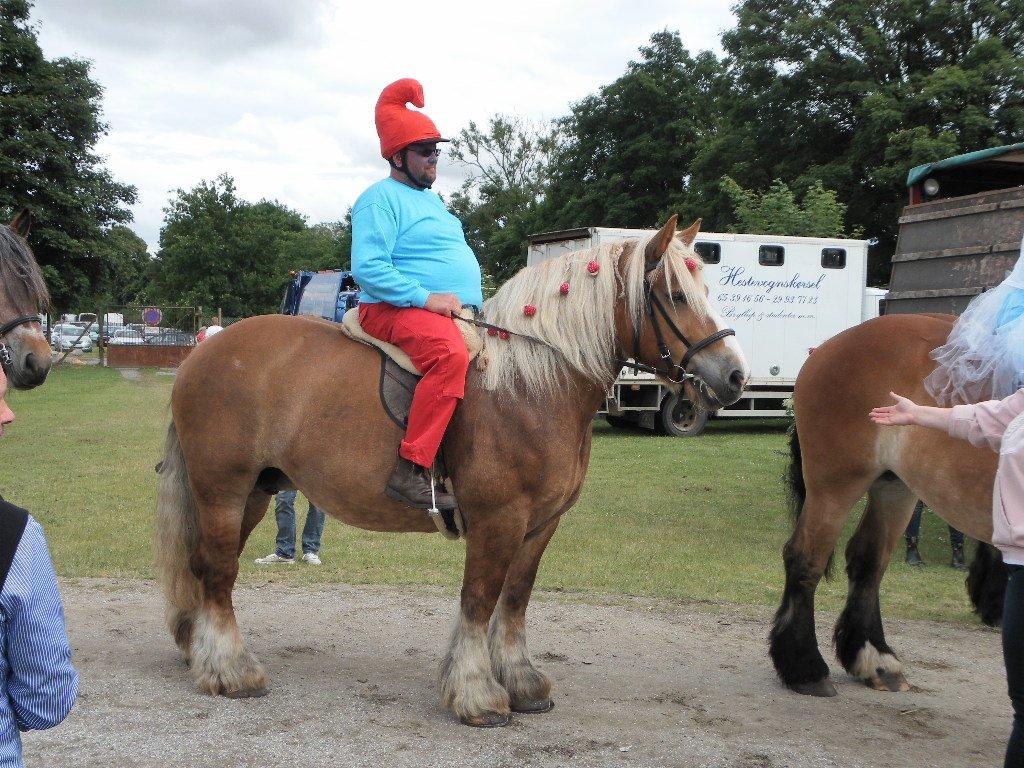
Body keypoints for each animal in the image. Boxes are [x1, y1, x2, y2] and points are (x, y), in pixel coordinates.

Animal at [153, 217, 745, 729]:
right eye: (675, 296)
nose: (735, 375)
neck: (532, 385)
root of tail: (202, 354)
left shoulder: (540, 524)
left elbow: (514, 599)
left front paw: (521, 682)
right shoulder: (498, 519)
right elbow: (480, 599)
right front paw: (477, 694)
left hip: (252, 493)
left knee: (207, 569)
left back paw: (199, 651)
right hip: (224, 490)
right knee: (218, 572)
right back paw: (231, 671)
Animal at [770, 313, 999, 696]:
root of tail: (827, 348)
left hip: (895, 488)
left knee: (868, 560)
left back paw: (874, 657)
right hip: (835, 487)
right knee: (805, 558)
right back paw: (805, 668)